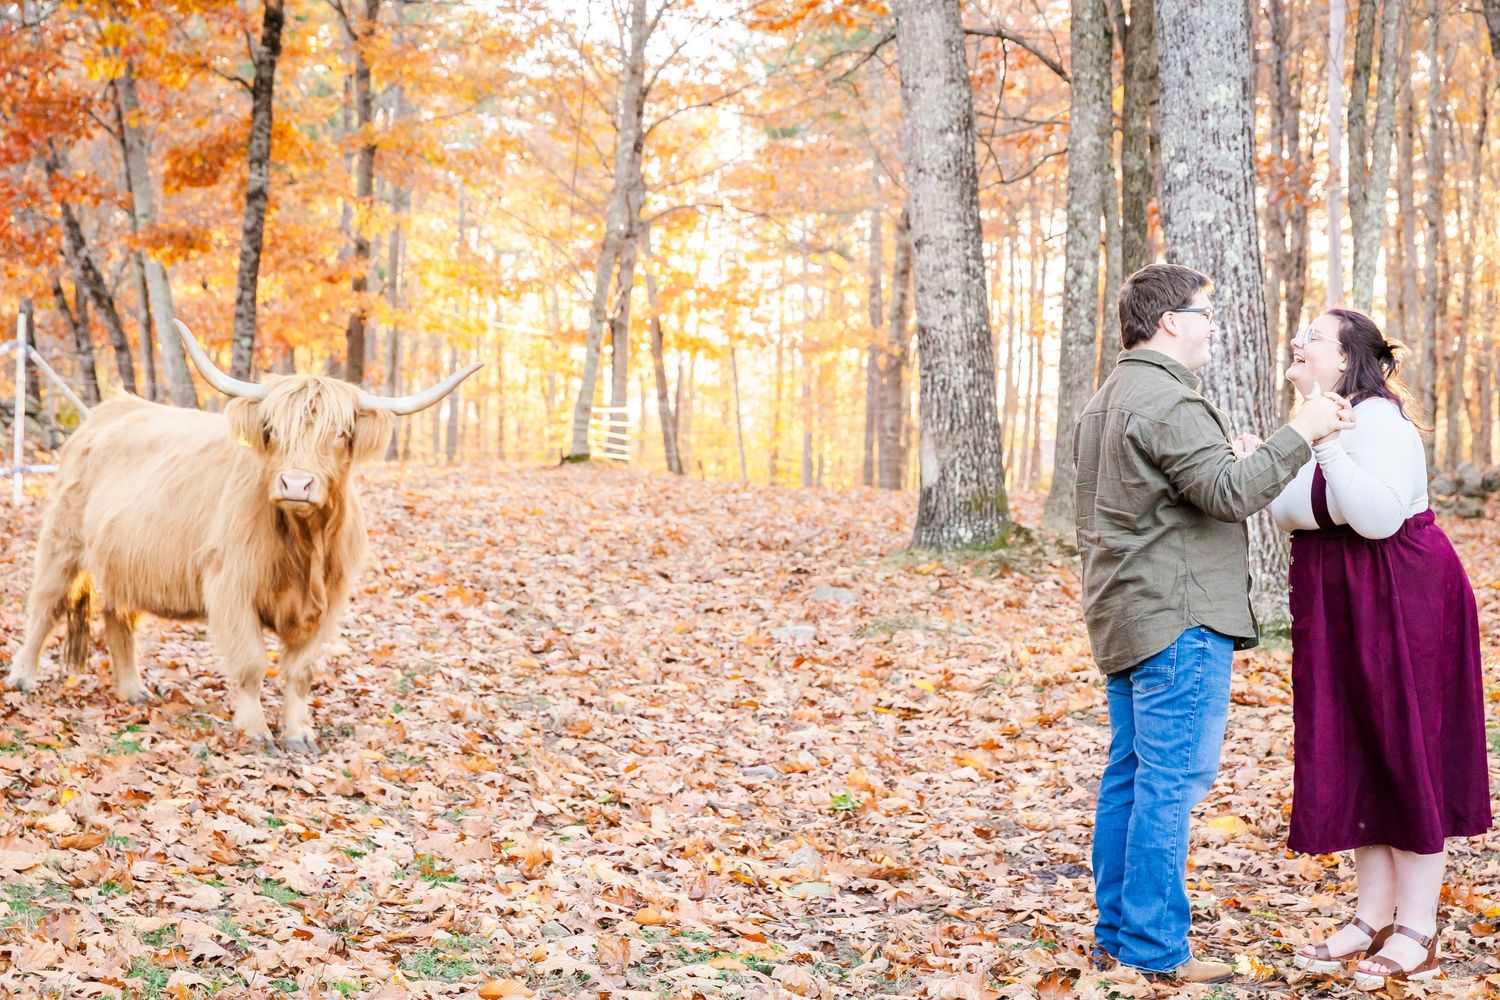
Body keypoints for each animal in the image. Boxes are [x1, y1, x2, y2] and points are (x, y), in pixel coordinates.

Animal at [4, 321, 479, 750]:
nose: (295, 484)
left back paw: (133, 691)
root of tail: (107, 411)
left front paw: (299, 733)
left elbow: (301, 672)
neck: (305, 545)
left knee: (118, 616)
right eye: (271, 431)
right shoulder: (231, 585)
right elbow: (251, 664)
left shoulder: (329, 600)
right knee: (45, 606)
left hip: (124, 559)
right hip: (62, 540)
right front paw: (254, 731)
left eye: (340, 433)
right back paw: (23, 677)